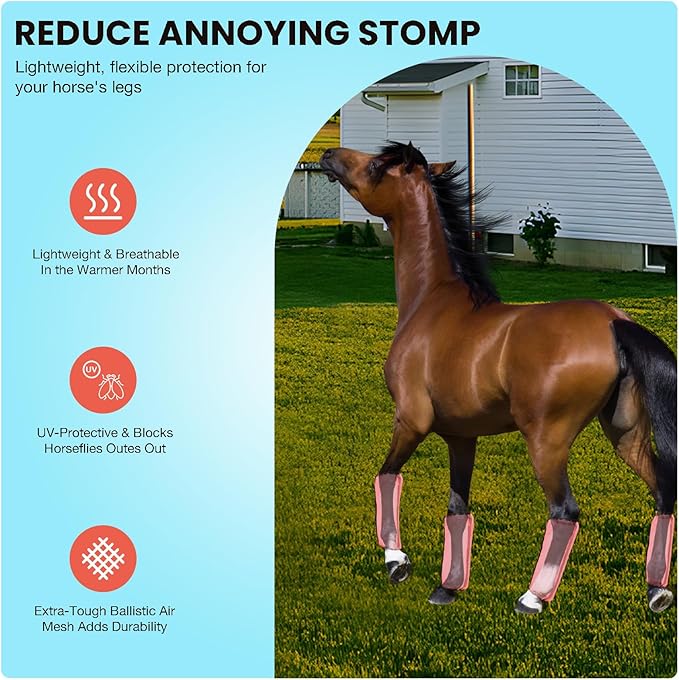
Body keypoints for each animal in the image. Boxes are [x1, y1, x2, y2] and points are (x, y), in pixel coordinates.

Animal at [320, 141, 676, 614]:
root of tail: (614, 322)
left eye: (378, 165)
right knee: (662, 490)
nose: (328, 155)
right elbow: (457, 508)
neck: (431, 303)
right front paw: (447, 588)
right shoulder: (460, 437)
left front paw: (397, 562)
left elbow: (386, 476)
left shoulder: (412, 421)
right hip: (625, 432)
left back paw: (532, 598)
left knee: (565, 511)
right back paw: (657, 591)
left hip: (547, 441)